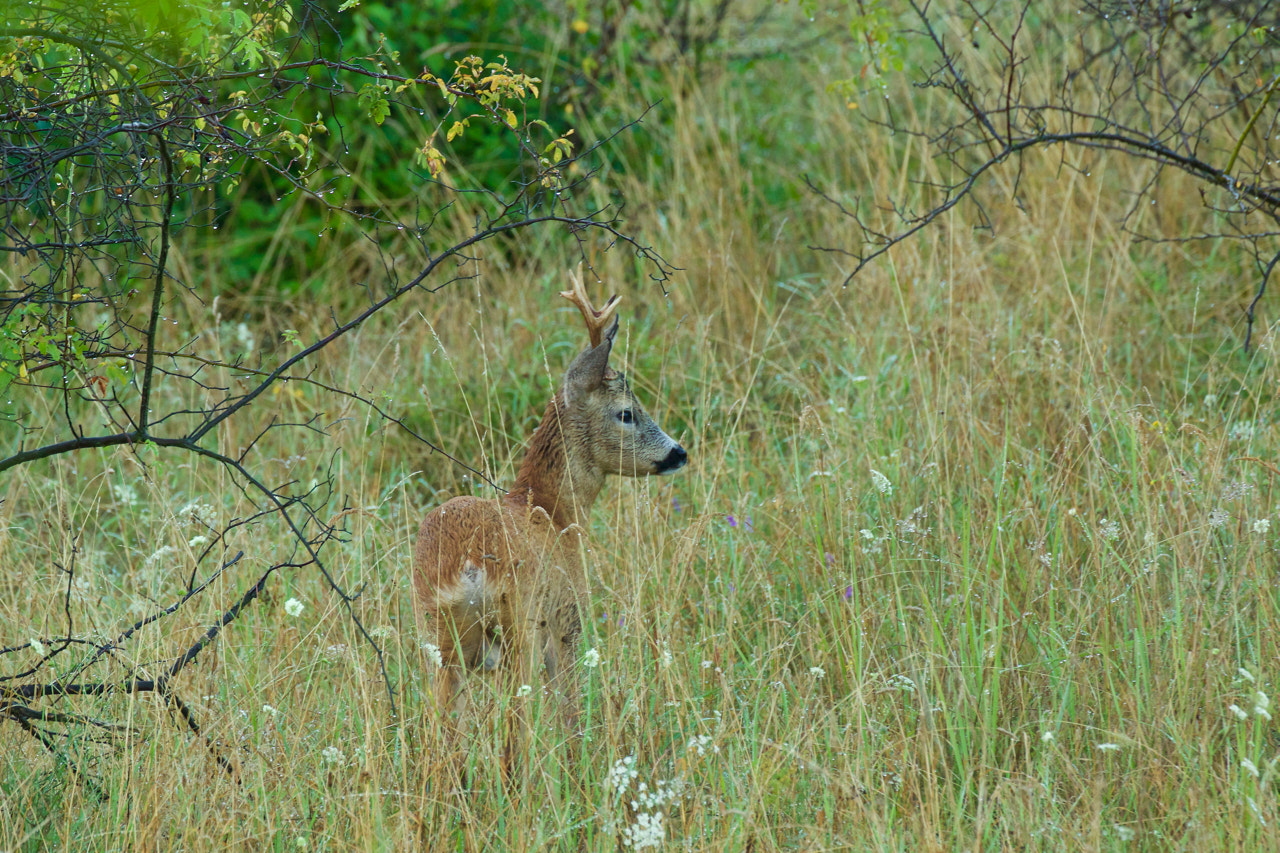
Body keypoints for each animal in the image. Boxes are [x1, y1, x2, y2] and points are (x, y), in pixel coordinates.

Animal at [414, 268, 686, 742]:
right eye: (627, 412)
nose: (678, 452)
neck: (554, 510)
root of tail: (464, 563)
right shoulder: (568, 619)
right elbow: (570, 707)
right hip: (520, 622)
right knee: (516, 726)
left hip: (437, 636)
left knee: (441, 730)